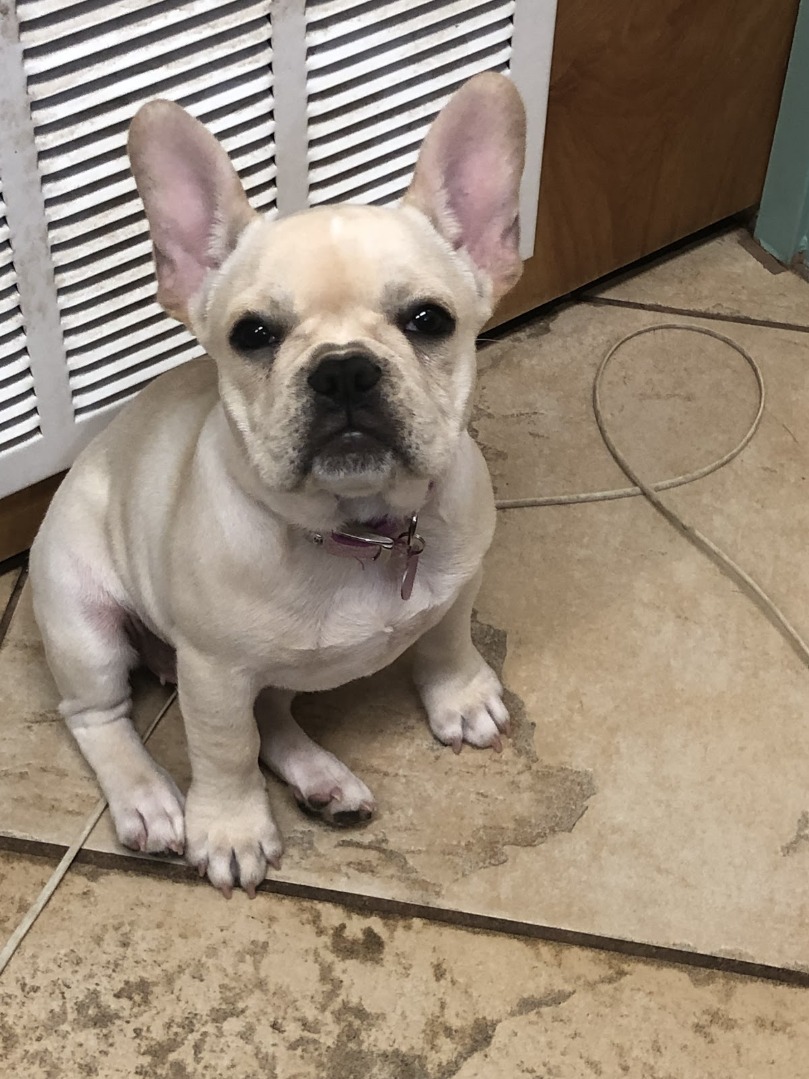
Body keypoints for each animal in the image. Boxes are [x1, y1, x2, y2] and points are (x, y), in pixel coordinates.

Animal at [29, 73, 527, 896]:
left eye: (429, 319)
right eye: (252, 334)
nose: (343, 367)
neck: (357, 529)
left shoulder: (461, 580)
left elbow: (446, 638)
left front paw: (460, 694)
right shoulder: (214, 673)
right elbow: (223, 750)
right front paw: (231, 828)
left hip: (281, 669)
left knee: (273, 717)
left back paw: (321, 778)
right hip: (83, 622)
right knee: (98, 714)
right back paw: (150, 799)